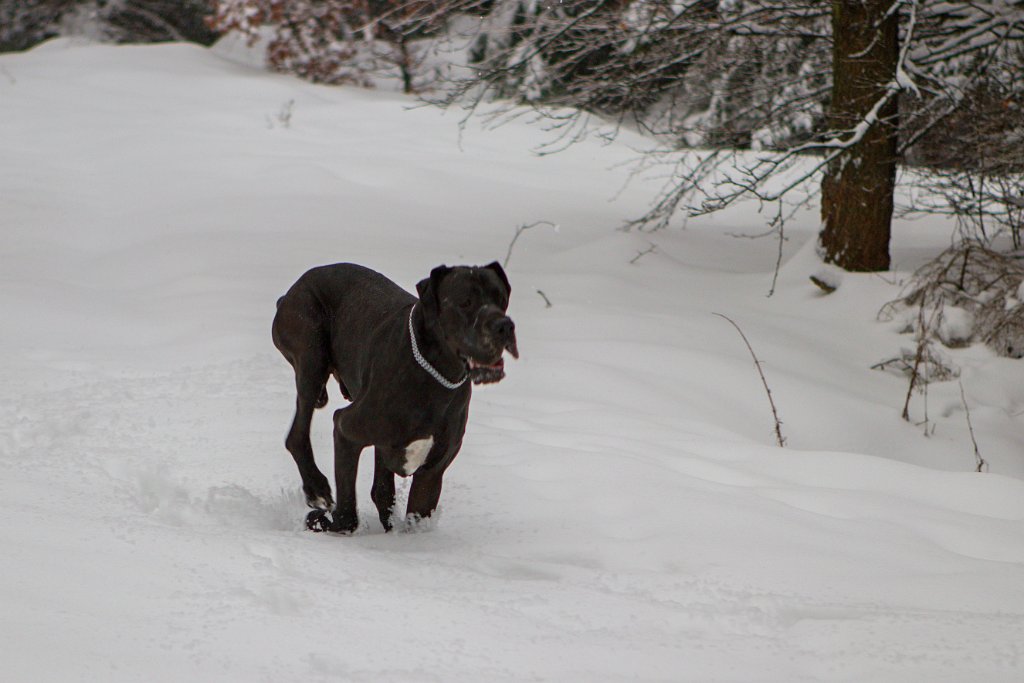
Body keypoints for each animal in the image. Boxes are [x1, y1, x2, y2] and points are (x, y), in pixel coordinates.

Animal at [272, 262, 516, 532]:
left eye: (501, 298)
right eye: (465, 302)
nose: (504, 326)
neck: (435, 375)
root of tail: (294, 287)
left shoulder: (431, 472)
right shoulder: (346, 430)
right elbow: (347, 516)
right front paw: (321, 521)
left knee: (381, 490)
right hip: (311, 356)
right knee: (297, 434)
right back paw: (316, 489)